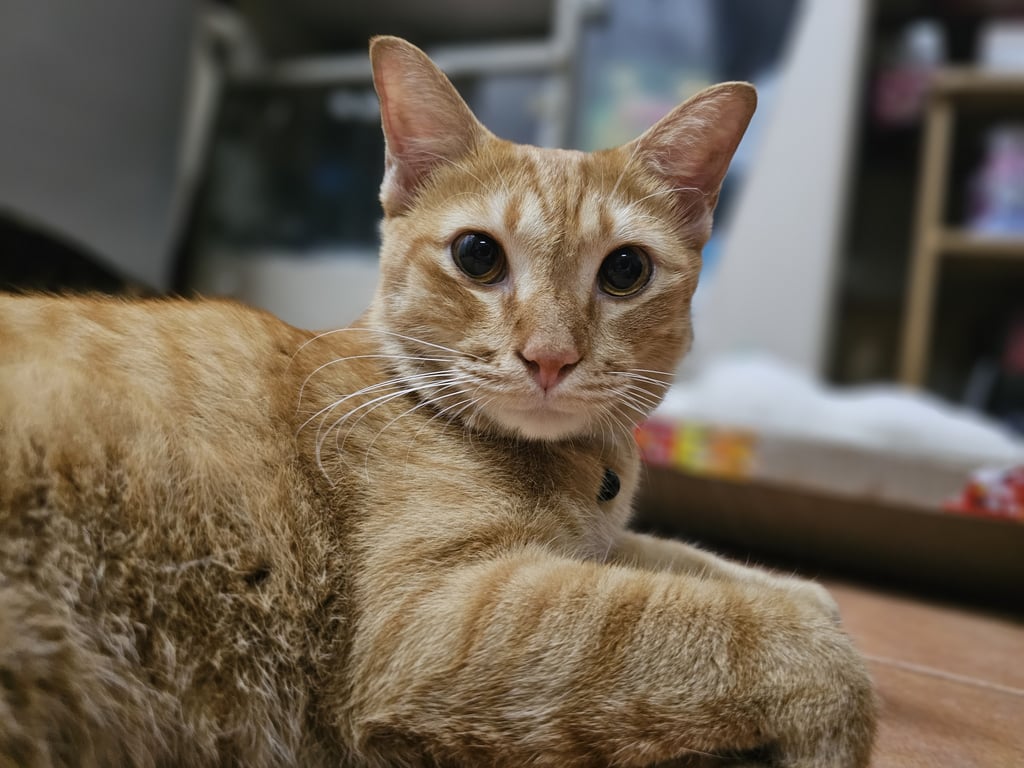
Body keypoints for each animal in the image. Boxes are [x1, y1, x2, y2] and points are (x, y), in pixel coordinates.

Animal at [0, 36, 876, 768]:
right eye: (478, 255)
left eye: (626, 271)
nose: (550, 356)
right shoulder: (448, 618)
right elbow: (734, 626)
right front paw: (835, 706)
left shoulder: (585, 553)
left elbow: (684, 562)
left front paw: (801, 591)